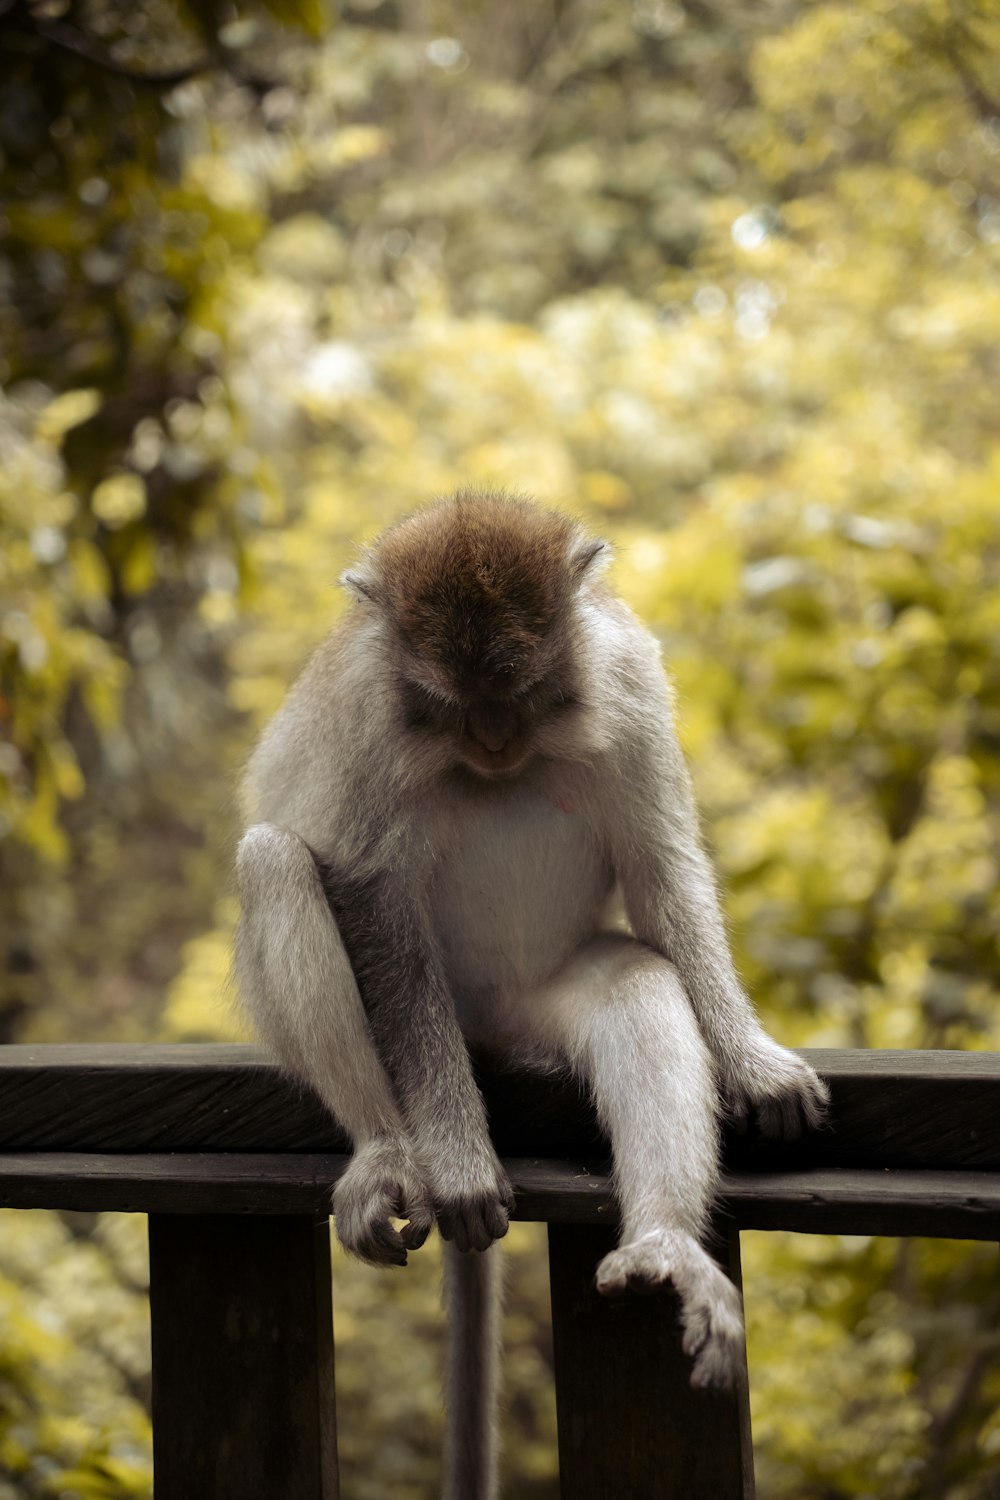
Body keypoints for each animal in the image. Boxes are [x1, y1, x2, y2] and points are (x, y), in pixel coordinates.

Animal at [235, 486, 827, 1494]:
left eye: (520, 692)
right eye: (451, 703)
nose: (495, 740)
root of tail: (493, 1032)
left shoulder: (628, 684)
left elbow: (661, 868)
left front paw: (751, 1059)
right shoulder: (365, 722)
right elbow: (373, 898)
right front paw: (458, 1156)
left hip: (536, 1008)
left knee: (634, 979)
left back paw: (665, 1242)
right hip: (450, 1022)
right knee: (275, 863)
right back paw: (392, 1147)